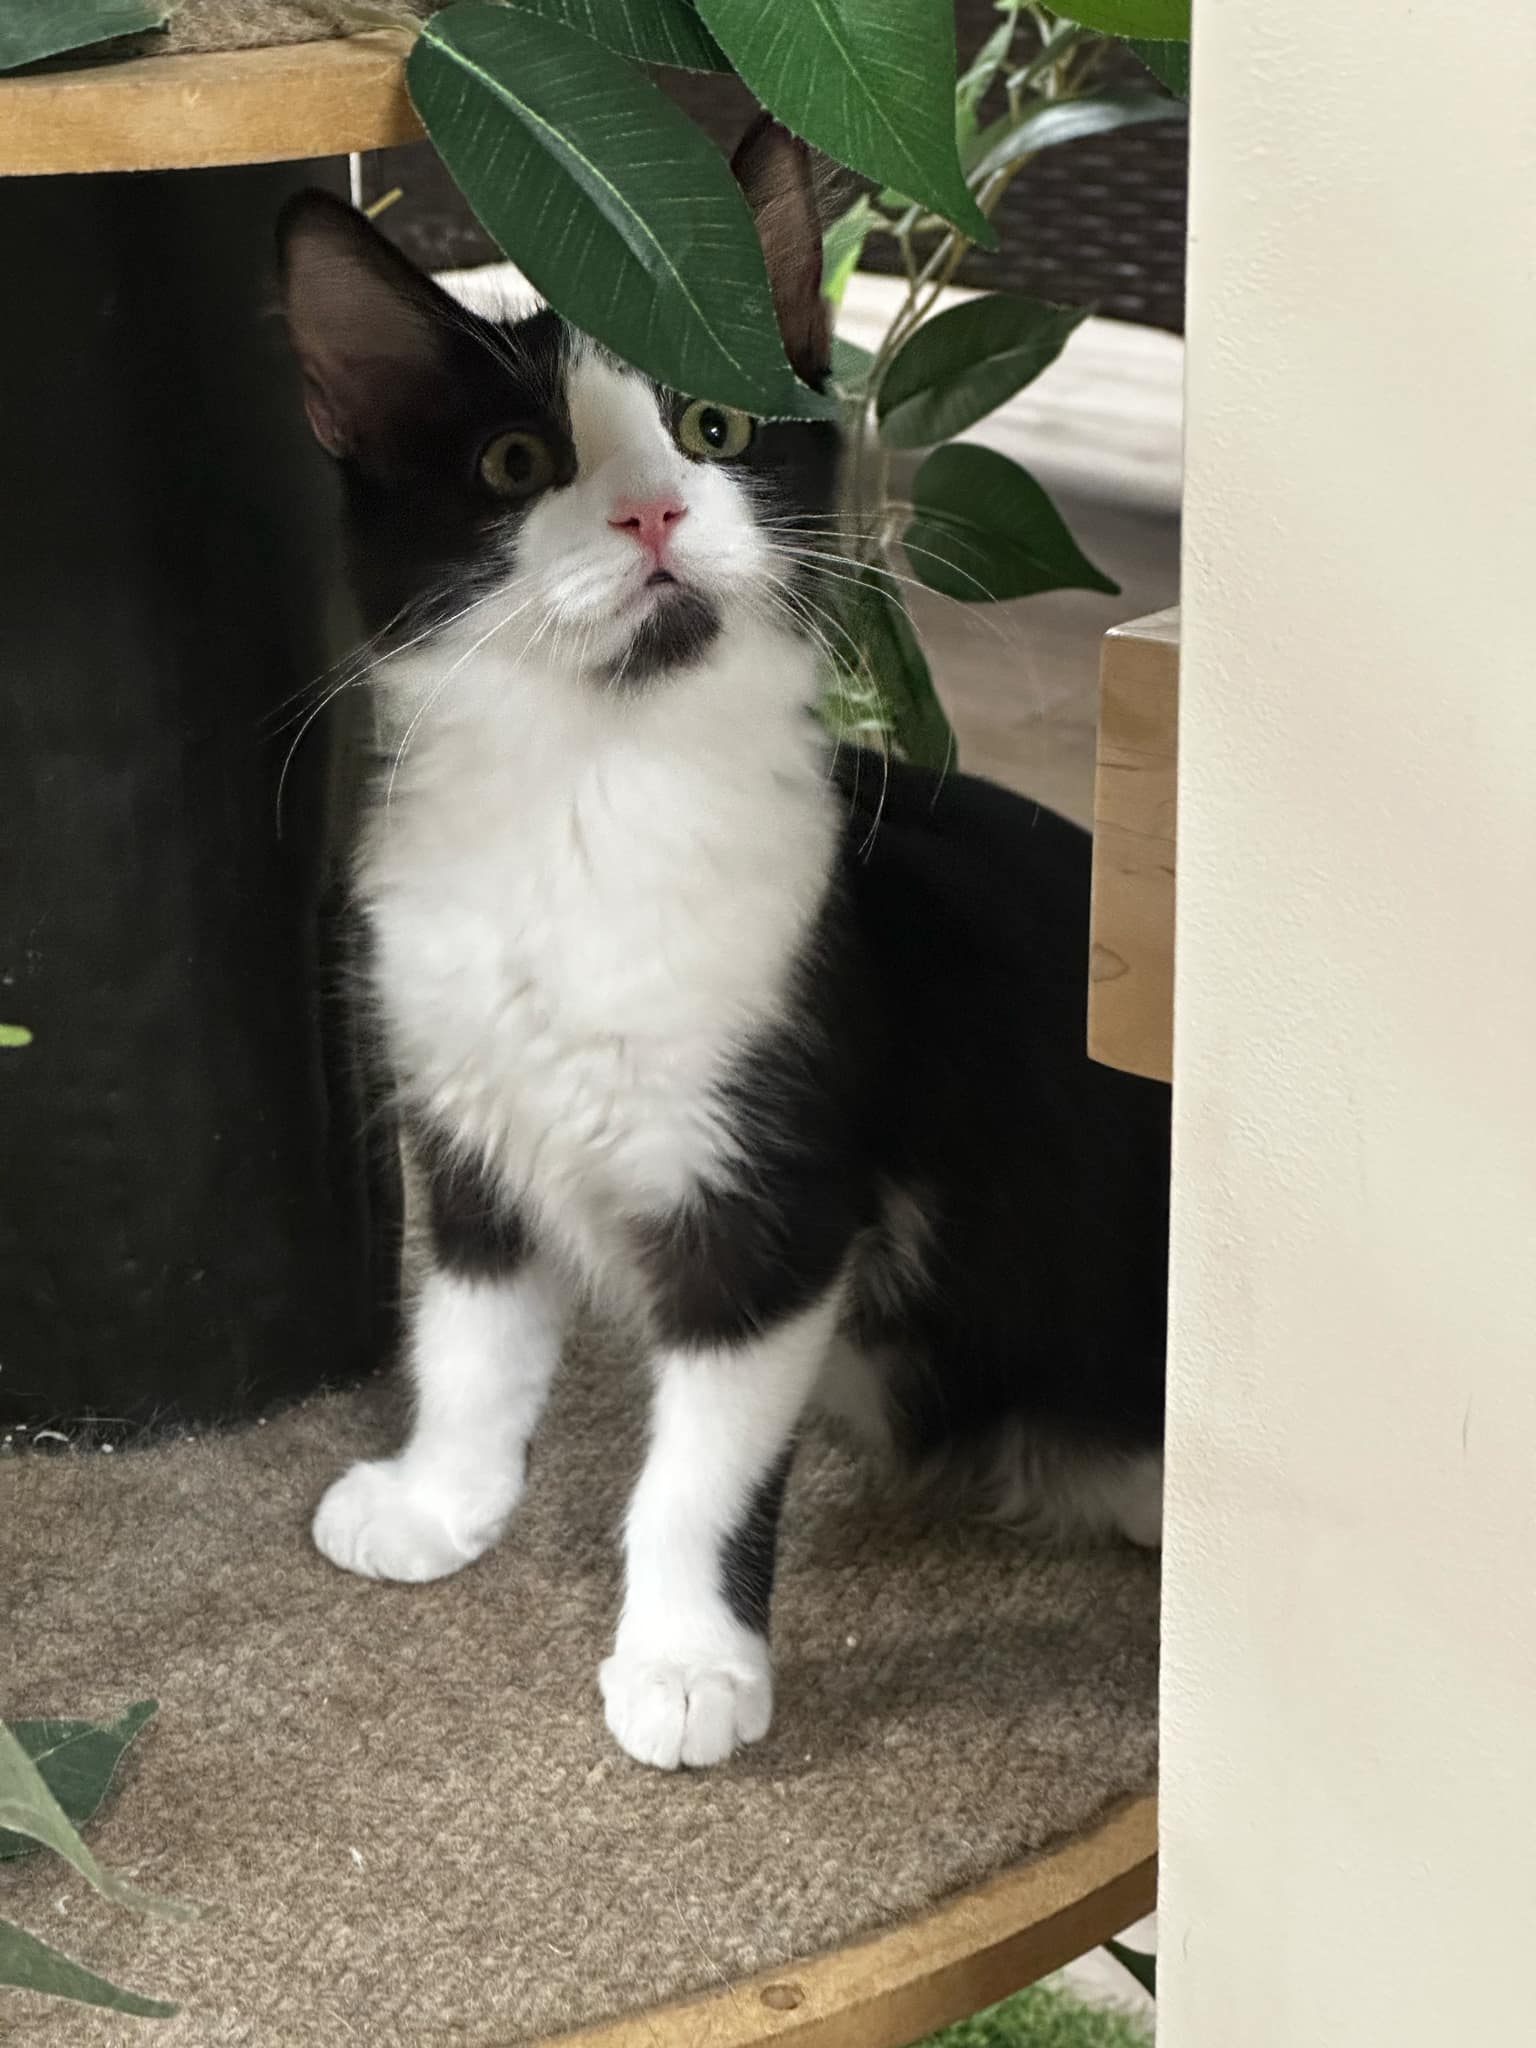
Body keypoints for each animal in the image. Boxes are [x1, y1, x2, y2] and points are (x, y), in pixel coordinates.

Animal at [276, 119, 1163, 1769]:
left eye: (712, 423)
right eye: (516, 463)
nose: (653, 512)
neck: (591, 801)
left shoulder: (779, 1196)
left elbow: (700, 1468)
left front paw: (688, 1663)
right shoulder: (462, 1107)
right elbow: (469, 1333)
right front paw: (443, 1499)